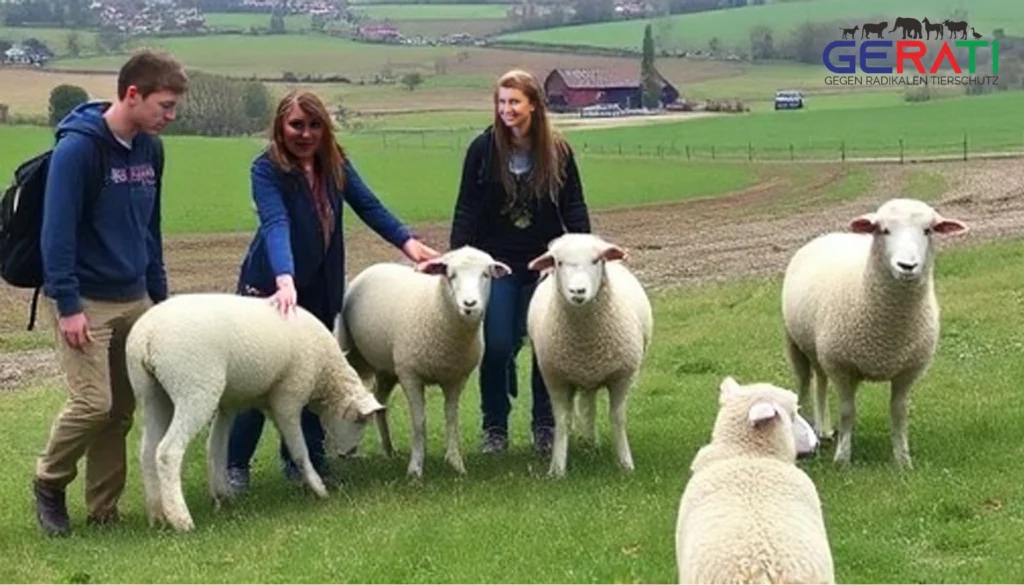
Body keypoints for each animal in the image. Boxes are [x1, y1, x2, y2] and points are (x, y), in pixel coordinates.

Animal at [125, 290, 382, 532]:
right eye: (360, 421)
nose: (348, 453)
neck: (325, 374)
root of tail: (146, 336)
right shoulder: (288, 397)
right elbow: (299, 449)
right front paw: (318, 487)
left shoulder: (228, 404)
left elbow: (216, 448)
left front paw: (221, 495)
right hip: (194, 389)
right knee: (167, 452)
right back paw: (181, 519)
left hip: (154, 394)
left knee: (147, 451)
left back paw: (158, 514)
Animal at [335, 244, 512, 477]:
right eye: (451, 275)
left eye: (486, 274)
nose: (469, 305)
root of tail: (377, 265)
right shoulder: (411, 375)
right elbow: (419, 423)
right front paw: (415, 468)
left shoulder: (456, 379)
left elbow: (452, 419)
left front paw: (456, 463)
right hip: (356, 355)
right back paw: (347, 450)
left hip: (388, 368)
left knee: (380, 401)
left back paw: (389, 449)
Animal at [524, 233, 651, 481]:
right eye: (559, 262)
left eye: (596, 260)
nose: (578, 292)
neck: (586, 343)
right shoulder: (555, 380)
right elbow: (562, 422)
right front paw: (557, 469)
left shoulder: (622, 377)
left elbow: (617, 419)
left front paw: (625, 463)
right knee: (588, 407)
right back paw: (590, 443)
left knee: (590, 406)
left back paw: (592, 444)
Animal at [782, 198, 966, 469]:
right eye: (884, 230)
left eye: (928, 230)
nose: (907, 266)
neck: (887, 331)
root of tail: (828, 235)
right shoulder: (841, 365)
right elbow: (847, 412)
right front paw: (842, 460)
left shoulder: (908, 371)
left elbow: (899, 412)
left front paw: (903, 460)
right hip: (796, 343)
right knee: (806, 382)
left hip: (819, 349)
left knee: (821, 382)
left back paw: (824, 430)